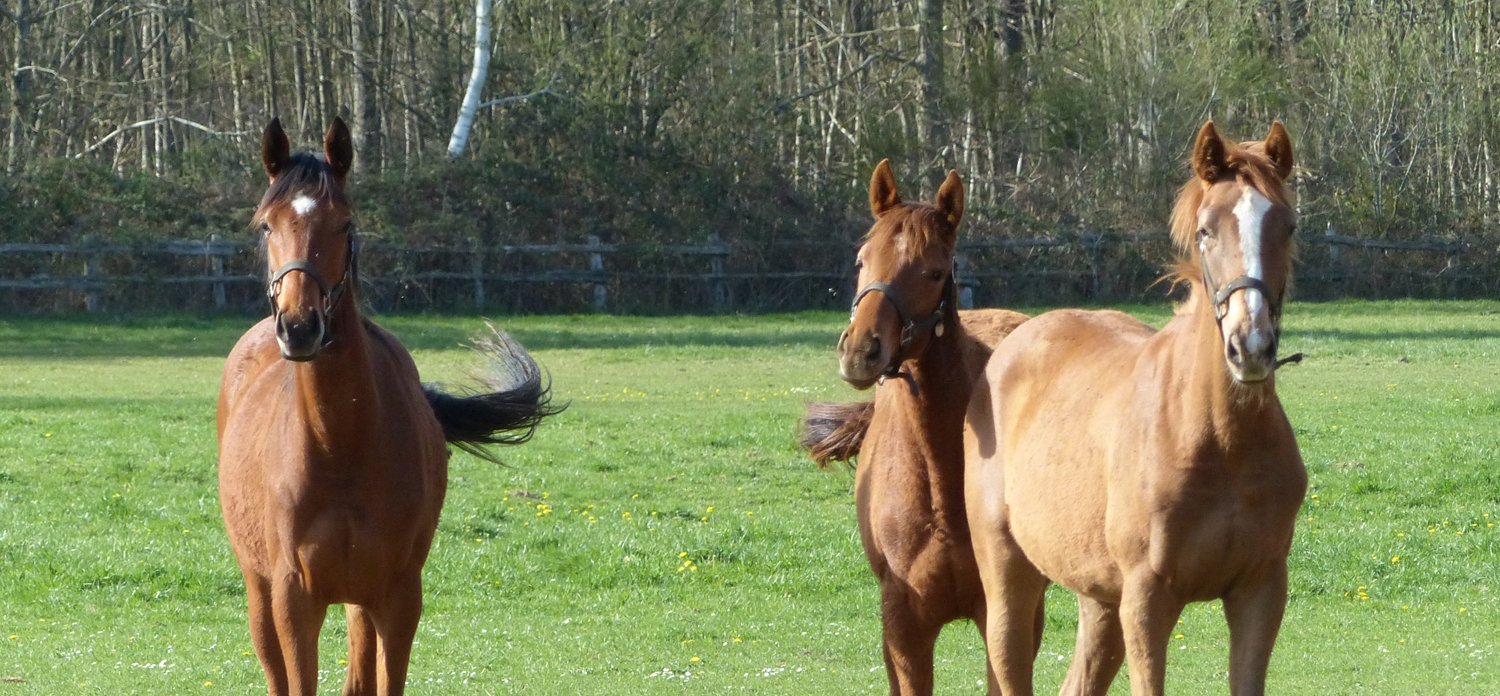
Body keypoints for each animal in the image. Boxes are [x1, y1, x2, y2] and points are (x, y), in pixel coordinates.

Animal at [217, 117, 558, 696]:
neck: (339, 446)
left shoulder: (397, 597)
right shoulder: (294, 598)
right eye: (266, 226)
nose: (300, 326)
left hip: (360, 601)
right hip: (260, 592)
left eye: (345, 223)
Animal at [963, 121, 1306, 696]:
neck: (1218, 439)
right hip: (1008, 572)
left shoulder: (1260, 591)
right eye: (1207, 230)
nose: (1251, 346)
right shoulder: (1147, 599)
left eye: (1288, 227)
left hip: (1099, 597)